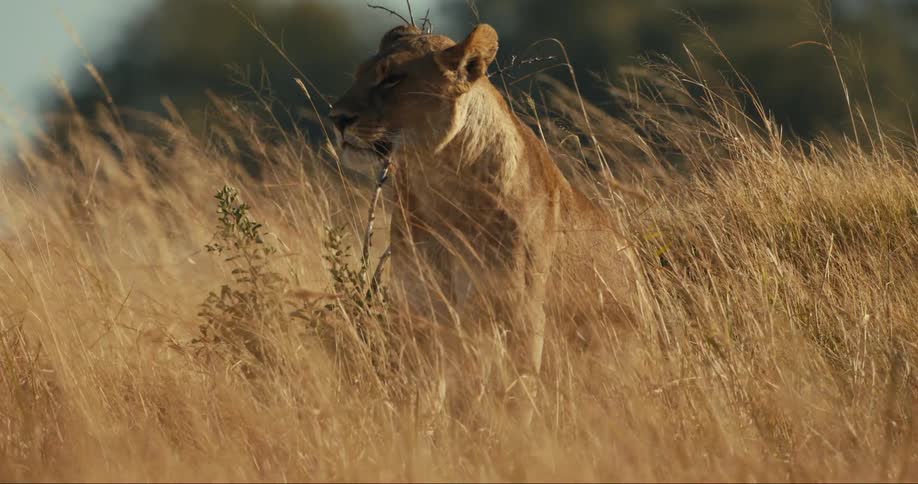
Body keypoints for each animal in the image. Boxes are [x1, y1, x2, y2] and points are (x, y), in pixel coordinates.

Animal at [330, 23, 645, 419]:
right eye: (359, 74)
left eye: (393, 79)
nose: (337, 118)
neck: (438, 183)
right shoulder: (422, 308)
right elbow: (426, 390)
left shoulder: (520, 313)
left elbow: (517, 396)